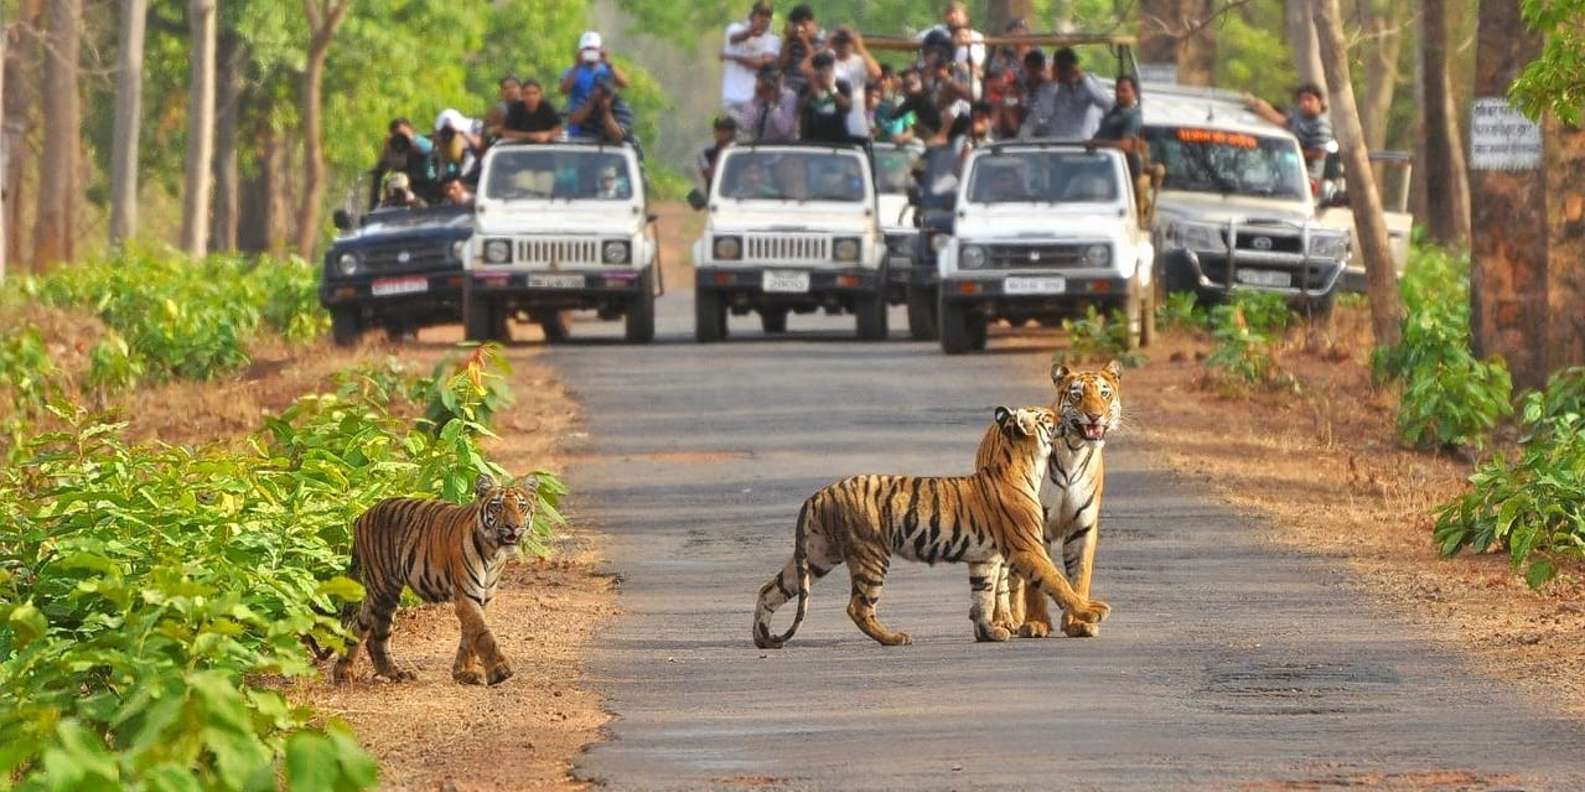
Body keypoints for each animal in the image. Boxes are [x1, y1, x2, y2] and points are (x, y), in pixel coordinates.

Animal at [329, 468, 538, 687]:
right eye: (497, 506)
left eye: (521, 506)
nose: (513, 526)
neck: (493, 552)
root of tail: (362, 516)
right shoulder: (466, 596)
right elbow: (482, 633)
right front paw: (500, 671)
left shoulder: (484, 597)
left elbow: (469, 636)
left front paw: (464, 673)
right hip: (385, 588)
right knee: (376, 638)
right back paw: (396, 673)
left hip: (375, 591)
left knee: (357, 627)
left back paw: (343, 672)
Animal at [748, 408, 1109, 649]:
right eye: (1047, 416)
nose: (1064, 416)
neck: (1025, 463)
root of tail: (818, 494)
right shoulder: (1027, 548)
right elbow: (1057, 581)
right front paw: (1091, 611)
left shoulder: (985, 558)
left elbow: (983, 596)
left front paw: (988, 633)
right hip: (870, 554)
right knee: (858, 607)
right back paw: (894, 638)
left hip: (817, 553)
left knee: (769, 589)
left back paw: (763, 638)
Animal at [970, 362, 1122, 639]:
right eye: (1077, 395)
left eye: (1104, 394)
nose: (1095, 416)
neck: (1075, 450)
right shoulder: (1034, 525)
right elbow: (1036, 584)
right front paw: (1036, 623)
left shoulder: (1083, 526)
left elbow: (1079, 575)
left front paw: (1079, 623)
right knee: (1001, 579)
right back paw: (1004, 620)